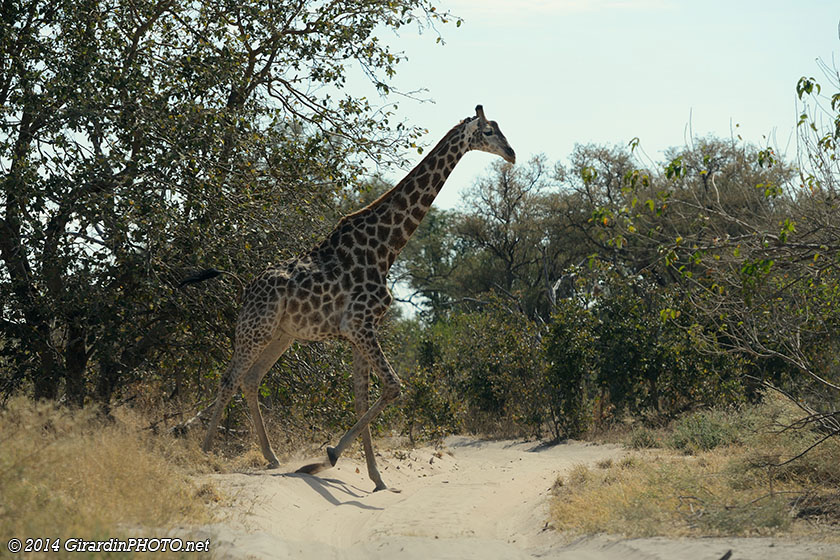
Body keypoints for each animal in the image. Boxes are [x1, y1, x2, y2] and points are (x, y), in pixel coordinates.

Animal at [193, 105, 515, 491]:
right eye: (488, 131)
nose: (512, 154)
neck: (385, 248)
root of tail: (246, 286)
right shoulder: (360, 325)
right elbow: (393, 388)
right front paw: (328, 457)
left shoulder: (357, 331)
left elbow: (364, 399)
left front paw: (376, 478)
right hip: (254, 329)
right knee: (229, 378)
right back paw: (204, 452)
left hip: (281, 335)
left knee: (251, 379)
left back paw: (271, 457)